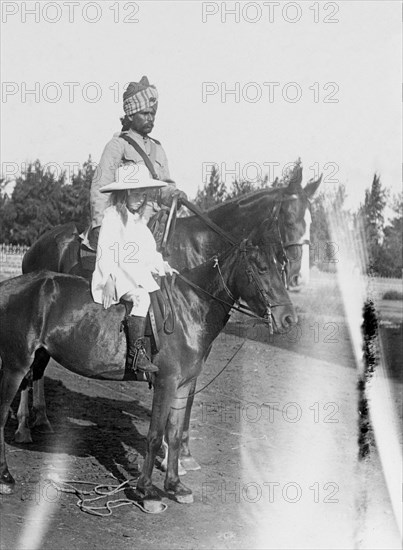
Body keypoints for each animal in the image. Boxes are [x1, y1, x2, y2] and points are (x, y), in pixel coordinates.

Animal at [0, 215, 296, 504]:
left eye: (281, 265)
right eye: (261, 268)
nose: (288, 319)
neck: (189, 308)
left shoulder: (183, 385)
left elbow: (173, 434)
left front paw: (175, 485)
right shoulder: (166, 382)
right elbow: (154, 436)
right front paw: (146, 490)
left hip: (36, 355)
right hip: (15, 365)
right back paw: (8, 473)